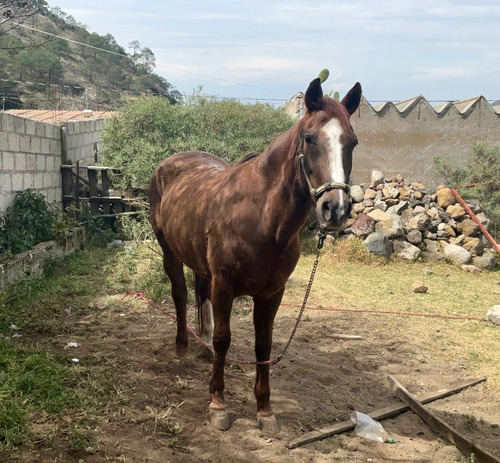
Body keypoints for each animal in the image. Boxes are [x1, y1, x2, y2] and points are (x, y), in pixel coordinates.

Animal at [149, 77, 364, 436]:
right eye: (310, 138)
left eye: (352, 142)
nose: (335, 209)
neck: (262, 216)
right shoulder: (225, 287)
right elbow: (224, 339)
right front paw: (218, 405)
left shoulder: (271, 293)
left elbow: (263, 345)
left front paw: (265, 410)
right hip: (169, 251)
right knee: (180, 293)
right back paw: (182, 346)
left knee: (199, 293)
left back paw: (203, 347)